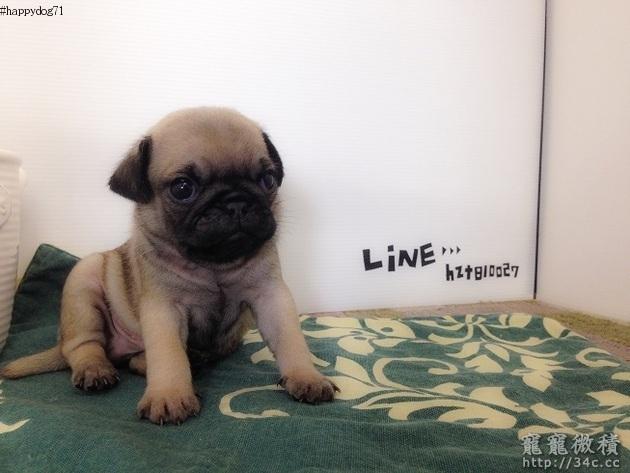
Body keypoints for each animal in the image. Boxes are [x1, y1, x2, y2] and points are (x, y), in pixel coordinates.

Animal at [0, 107, 338, 424]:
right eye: (183, 188)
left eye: (267, 179)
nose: (236, 202)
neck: (213, 264)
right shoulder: (164, 310)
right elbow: (169, 354)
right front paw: (170, 396)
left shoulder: (271, 296)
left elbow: (290, 339)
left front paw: (306, 377)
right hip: (83, 283)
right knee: (84, 346)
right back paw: (95, 370)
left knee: (134, 360)